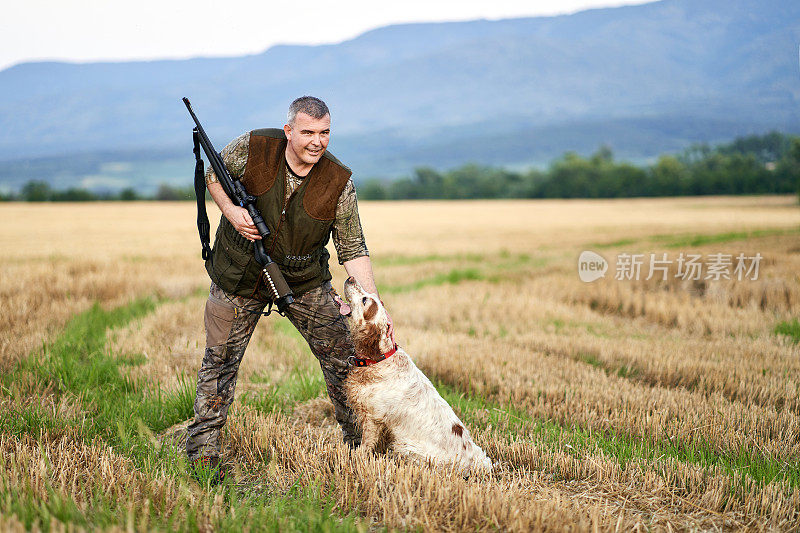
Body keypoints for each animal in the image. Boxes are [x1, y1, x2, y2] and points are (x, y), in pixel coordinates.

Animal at [336, 276, 490, 472]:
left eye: (365, 300)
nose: (351, 277)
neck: (379, 359)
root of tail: (477, 461)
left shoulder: (372, 418)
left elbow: (365, 445)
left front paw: (356, 460)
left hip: (406, 446)